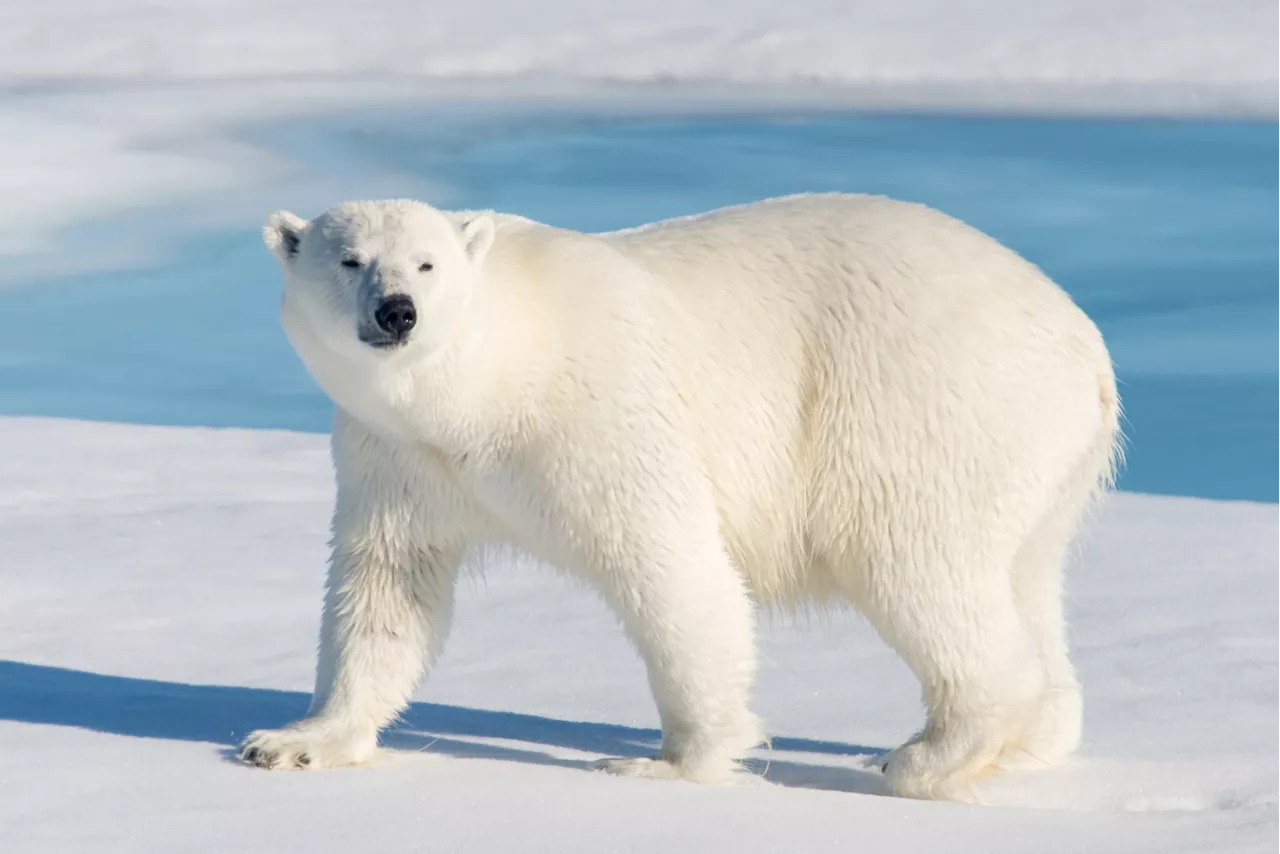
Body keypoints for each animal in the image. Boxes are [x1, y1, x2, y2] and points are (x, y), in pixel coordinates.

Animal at [240, 193, 1121, 804]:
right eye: (350, 259)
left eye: (427, 264)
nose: (398, 312)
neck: (488, 381)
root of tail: (1085, 343)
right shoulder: (398, 457)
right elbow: (387, 587)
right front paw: (293, 741)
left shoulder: (599, 414)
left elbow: (671, 568)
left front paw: (668, 763)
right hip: (1038, 459)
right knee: (1024, 577)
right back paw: (1030, 741)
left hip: (920, 404)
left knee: (915, 563)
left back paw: (926, 754)